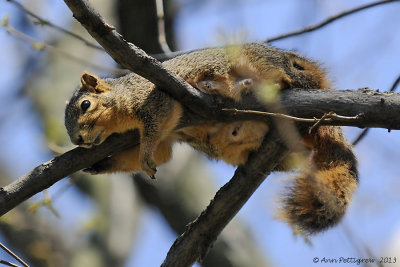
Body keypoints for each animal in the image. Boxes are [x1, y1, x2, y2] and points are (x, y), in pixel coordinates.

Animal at [64, 42, 358, 237]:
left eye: (85, 105)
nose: (78, 140)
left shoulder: (154, 97)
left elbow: (154, 128)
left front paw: (145, 155)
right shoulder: (166, 138)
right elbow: (162, 153)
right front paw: (99, 165)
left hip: (262, 63)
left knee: (283, 78)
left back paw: (229, 85)